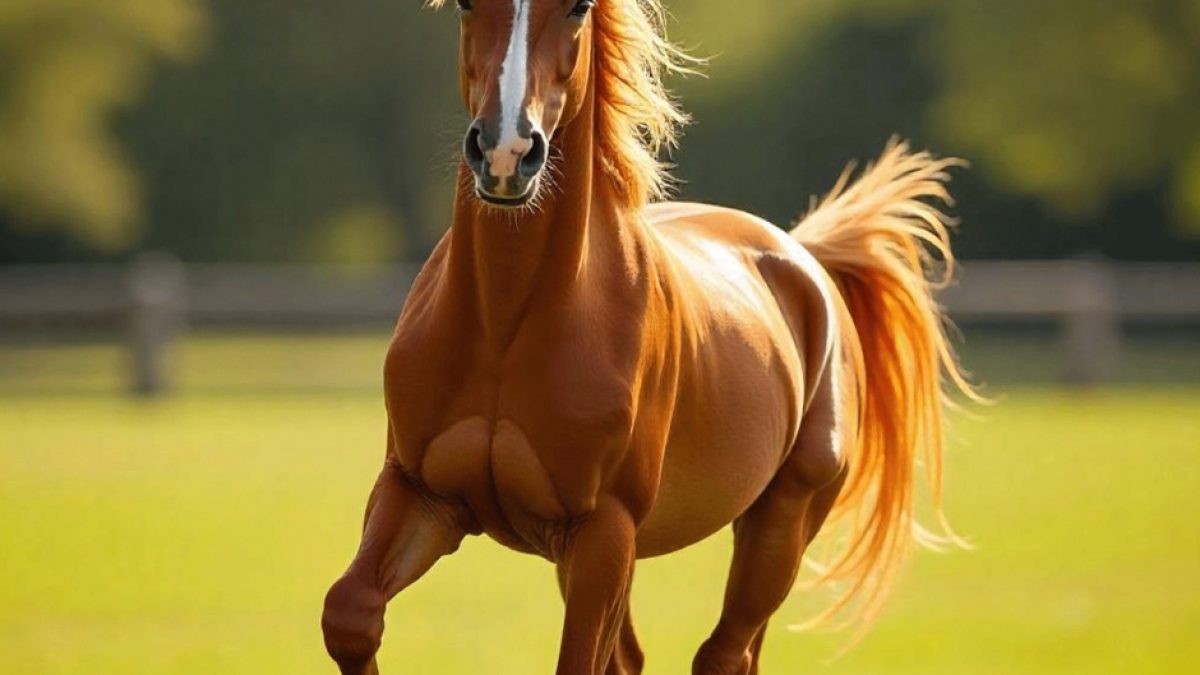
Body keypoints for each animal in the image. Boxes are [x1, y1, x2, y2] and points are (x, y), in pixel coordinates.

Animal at [321, 1, 978, 673]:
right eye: (463, 5)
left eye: (579, 8)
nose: (505, 153)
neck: (507, 327)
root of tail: (803, 256)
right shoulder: (421, 492)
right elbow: (349, 615)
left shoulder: (604, 530)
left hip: (780, 523)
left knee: (724, 653)